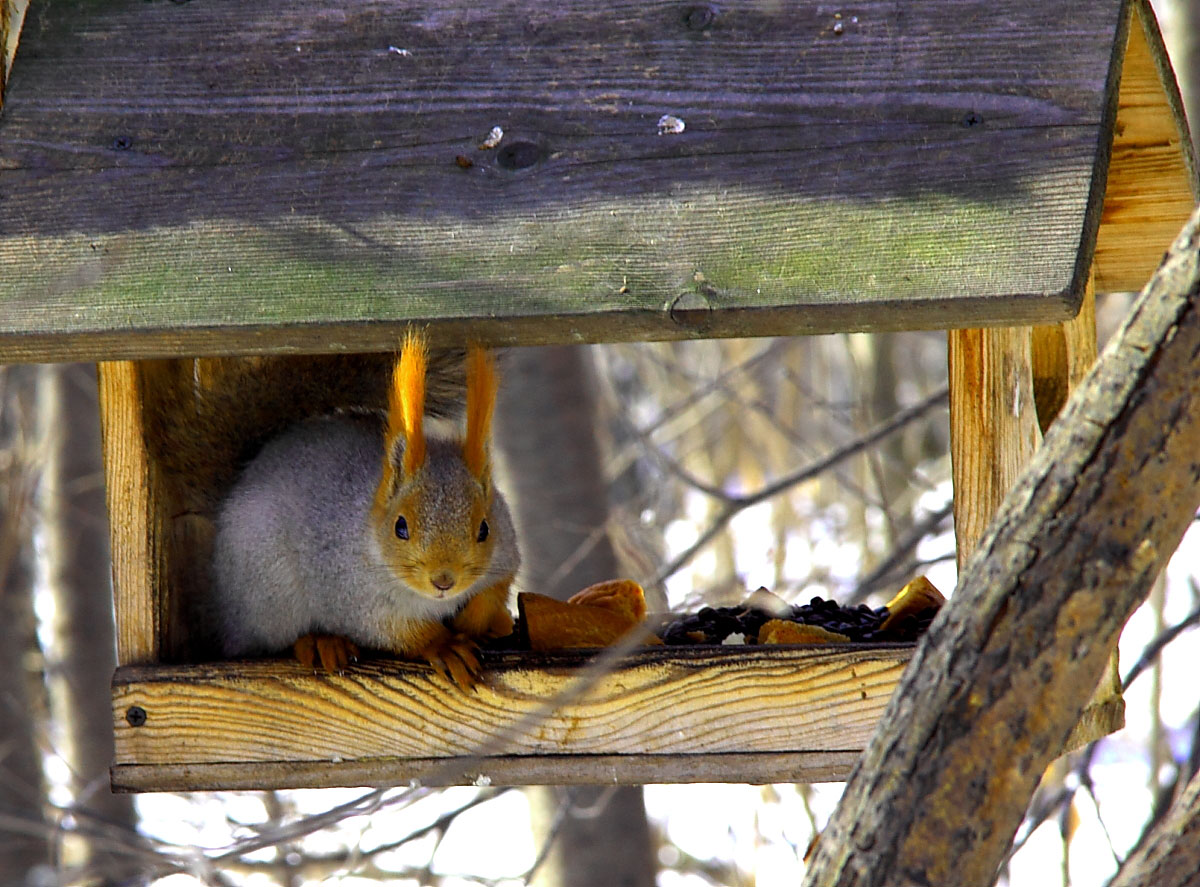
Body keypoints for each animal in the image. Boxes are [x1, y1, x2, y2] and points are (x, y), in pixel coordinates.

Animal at [194, 333, 518, 686]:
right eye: (400, 527)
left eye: (484, 529)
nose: (444, 581)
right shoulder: (351, 591)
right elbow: (392, 630)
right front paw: (443, 646)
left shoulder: (505, 552)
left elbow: (495, 589)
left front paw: (477, 621)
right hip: (267, 592)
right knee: (275, 640)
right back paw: (320, 642)